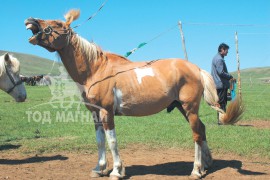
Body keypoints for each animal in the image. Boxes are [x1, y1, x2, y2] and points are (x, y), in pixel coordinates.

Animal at [25, 9, 244, 179]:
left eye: (57, 23)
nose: (31, 20)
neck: (95, 70)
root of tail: (196, 69)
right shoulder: (95, 114)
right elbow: (100, 141)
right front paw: (99, 168)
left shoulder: (107, 112)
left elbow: (112, 140)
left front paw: (116, 171)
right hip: (183, 108)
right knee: (202, 129)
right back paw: (207, 164)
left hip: (189, 108)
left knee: (197, 134)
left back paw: (196, 170)